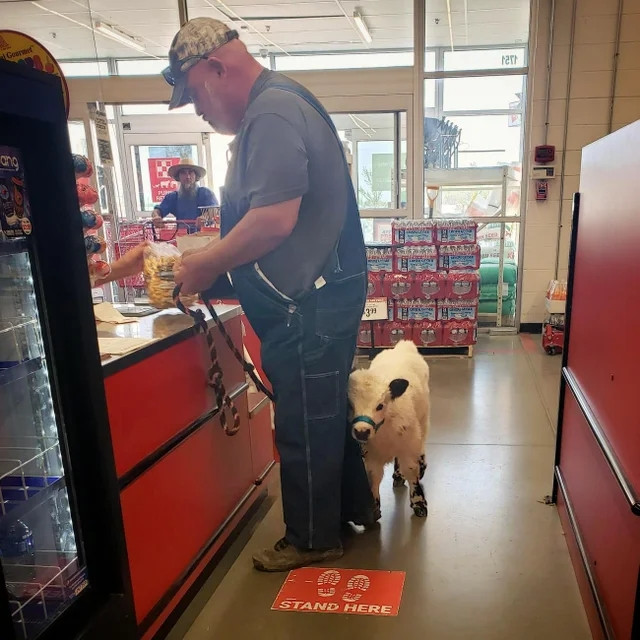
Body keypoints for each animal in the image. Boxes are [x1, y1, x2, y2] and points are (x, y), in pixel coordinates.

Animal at [348, 342, 432, 516]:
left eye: (380, 405)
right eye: (349, 405)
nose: (361, 432)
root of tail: (403, 345)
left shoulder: (408, 446)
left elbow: (411, 470)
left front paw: (419, 504)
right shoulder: (370, 455)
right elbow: (374, 477)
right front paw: (374, 507)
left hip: (423, 420)